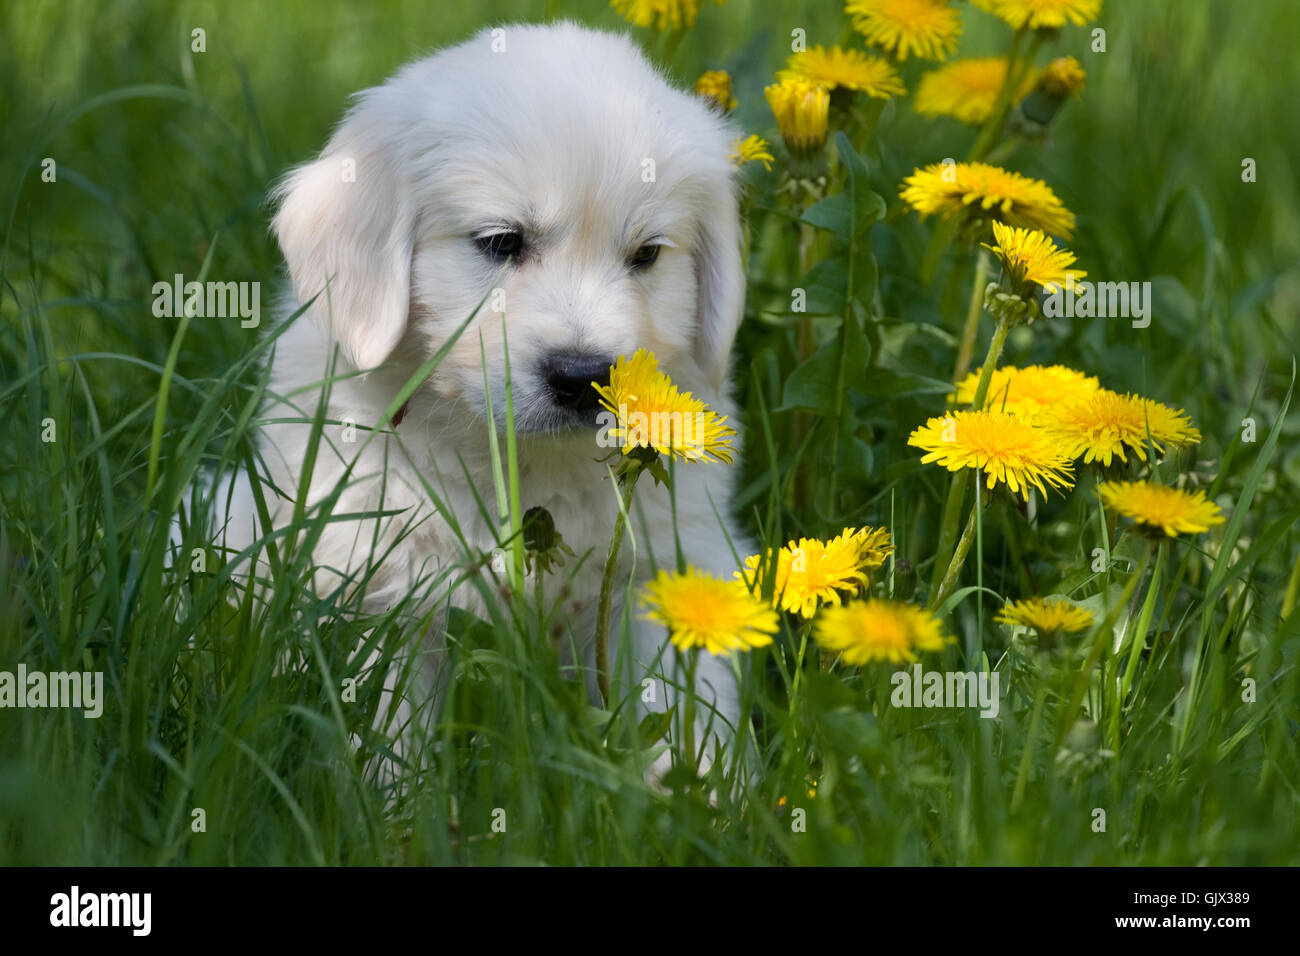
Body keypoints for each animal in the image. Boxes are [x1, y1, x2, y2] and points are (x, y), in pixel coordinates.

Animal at [206, 22, 754, 785]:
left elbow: (685, 707)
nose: (582, 375)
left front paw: (698, 796)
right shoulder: (388, 585)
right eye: (501, 242)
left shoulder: (665, 564)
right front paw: (397, 804)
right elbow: (390, 731)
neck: (521, 459)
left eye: (646, 255)